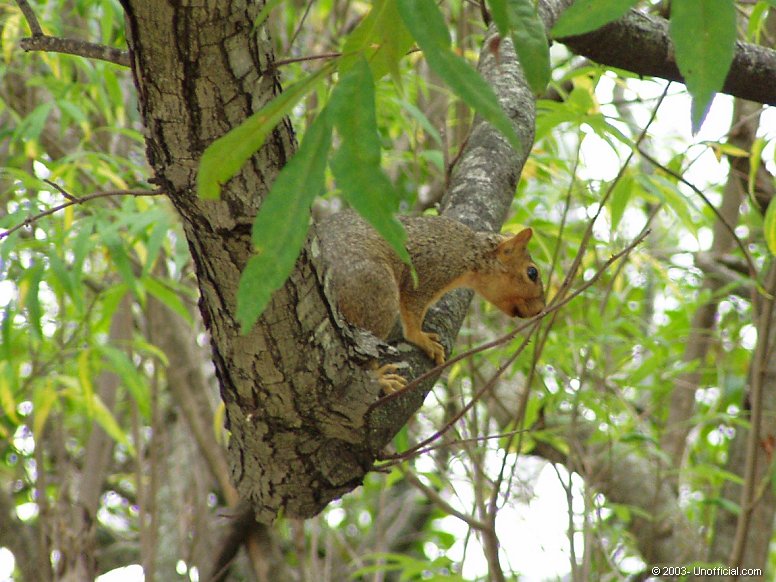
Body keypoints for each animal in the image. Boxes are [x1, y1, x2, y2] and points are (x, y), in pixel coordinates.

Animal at [316, 210, 544, 392]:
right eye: (532, 273)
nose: (540, 310)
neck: (470, 251)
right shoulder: (429, 270)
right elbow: (412, 312)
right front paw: (421, 338)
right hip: (376, 293)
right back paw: (381, 380)